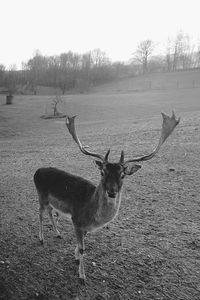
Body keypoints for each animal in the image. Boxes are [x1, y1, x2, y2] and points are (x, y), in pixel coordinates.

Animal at [34, 111, 180, 282]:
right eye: (102, 172)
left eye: (123, 175)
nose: (112, 191)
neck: (91, 214)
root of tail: (37, 171)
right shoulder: (76, 220)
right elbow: (83, 248)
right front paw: (82, 276)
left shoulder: (85, 227)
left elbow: (81, 245)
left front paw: (75, 258)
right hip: (41, 195)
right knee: (40, 213)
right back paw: (41, 238)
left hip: (50, 201)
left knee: (50, 211)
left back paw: (58, 234)